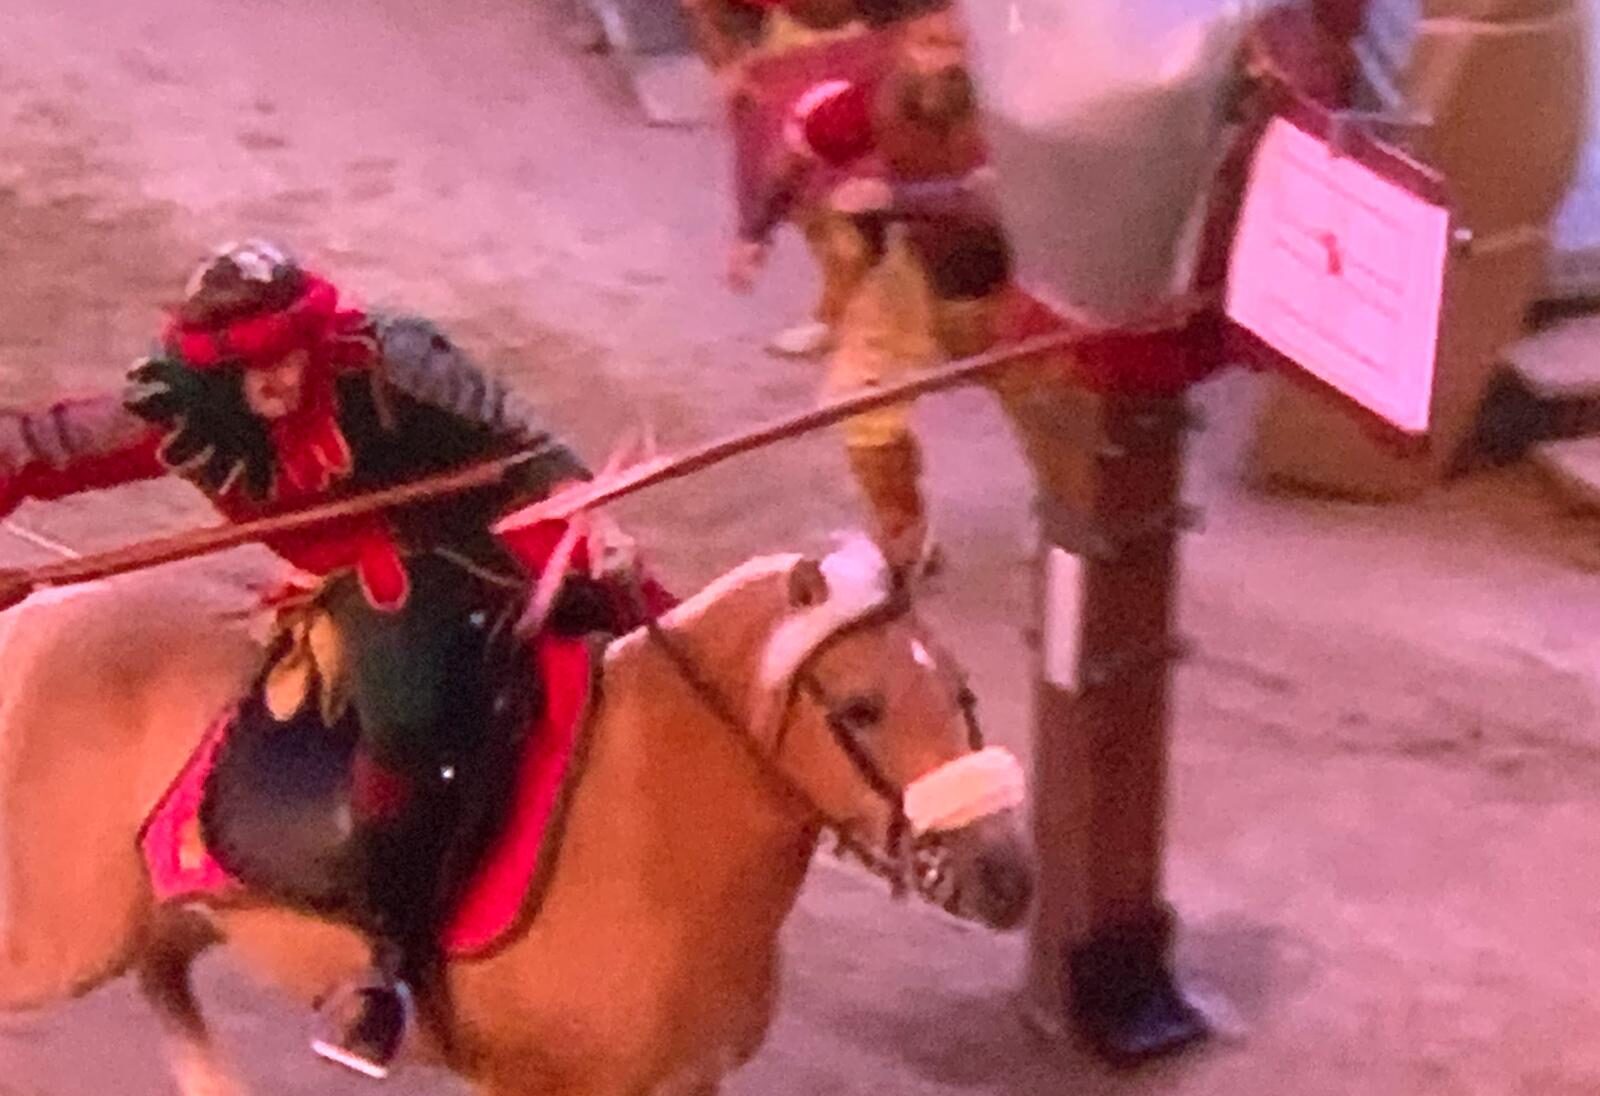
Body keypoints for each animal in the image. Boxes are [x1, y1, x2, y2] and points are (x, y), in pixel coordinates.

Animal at [0, 537, 1030, 1094]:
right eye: (861, 708)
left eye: (963, 691)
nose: (1005, 876)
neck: (649, 818)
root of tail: (38, 613)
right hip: (55, 942)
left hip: (163, 918)